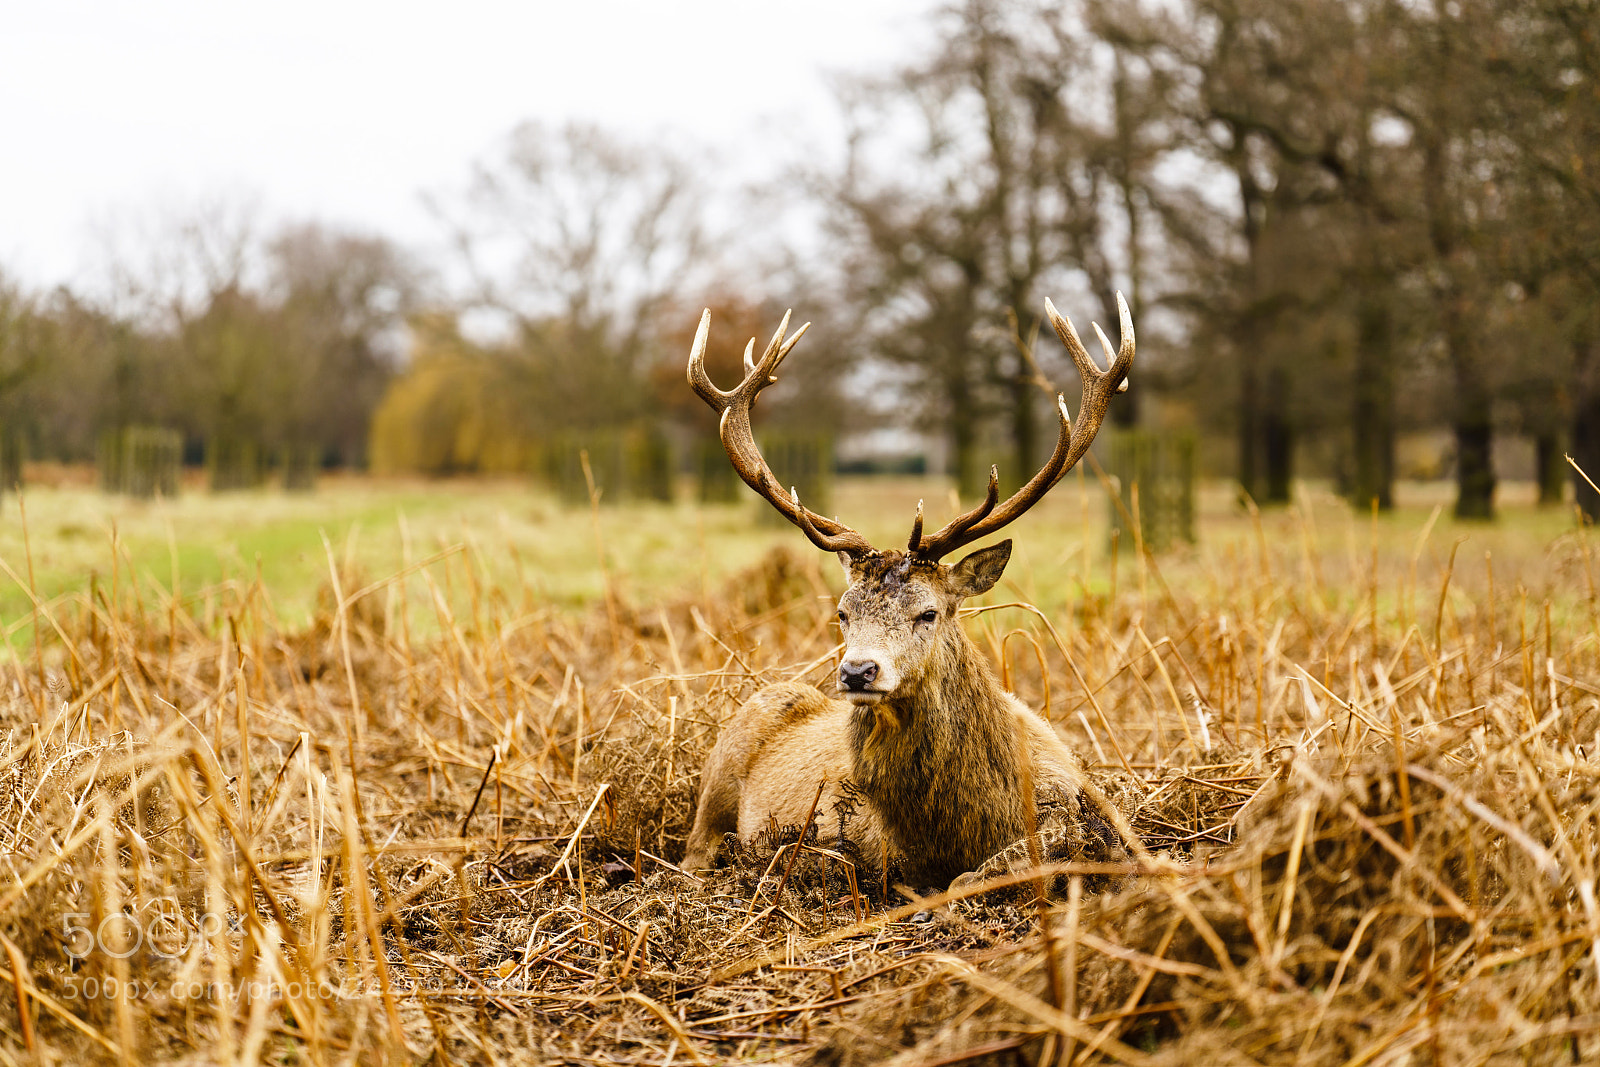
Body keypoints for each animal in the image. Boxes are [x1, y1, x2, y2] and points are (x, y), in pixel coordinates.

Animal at [680, 297, 1141, 888]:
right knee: (695, 850)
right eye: (843, 613)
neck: (967, 825)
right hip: (724, 763)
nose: (857, 672)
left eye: (928, 612)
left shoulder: (1090, 809)